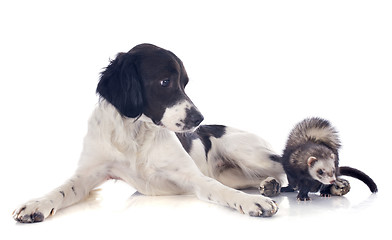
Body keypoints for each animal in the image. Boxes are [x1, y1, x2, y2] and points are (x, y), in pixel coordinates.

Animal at [12, 43, 286, 223]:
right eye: (165, 82)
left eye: (184, 83)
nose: (199, 119)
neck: (134, 134)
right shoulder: (87, 176)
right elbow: (61, 189)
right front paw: (36, 203)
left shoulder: (192, 177)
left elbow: (218, 189)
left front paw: (250, 202)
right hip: (235, 172)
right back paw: (269, 185)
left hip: (248, 153)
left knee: (281, 168)